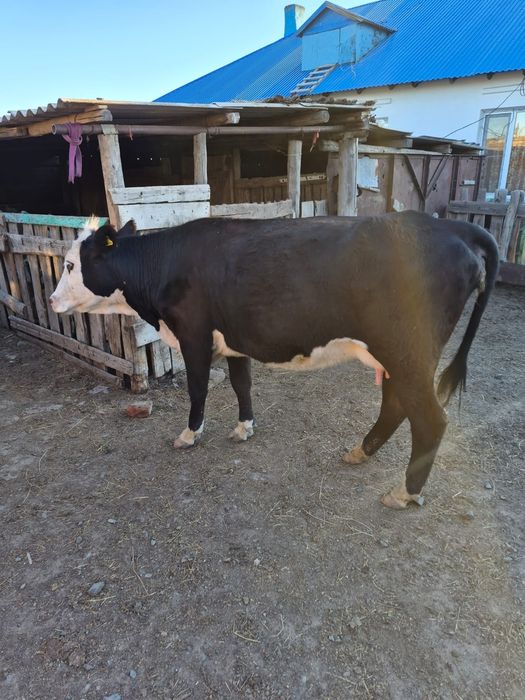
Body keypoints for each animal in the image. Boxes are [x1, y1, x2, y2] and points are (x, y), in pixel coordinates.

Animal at [50, 212, 499, 509]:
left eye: (70, 264)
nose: (52, 300)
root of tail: (448, 225)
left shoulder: (194, 336)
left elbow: (197, 389)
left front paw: (189, 435)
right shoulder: (234, 340)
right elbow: (240, 384)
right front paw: (244, 428)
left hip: (407, 352)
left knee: (430, 419)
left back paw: (406, 492)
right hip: (396, 356)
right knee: (395, 405)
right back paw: (361, 451)